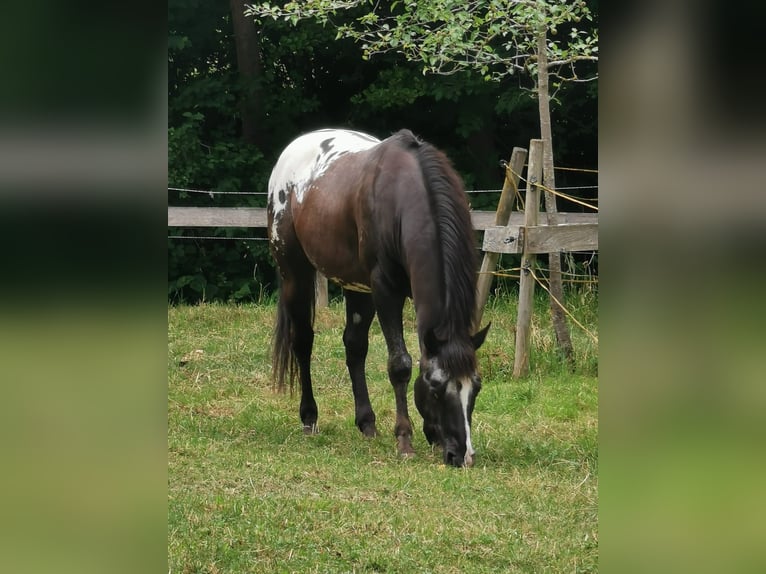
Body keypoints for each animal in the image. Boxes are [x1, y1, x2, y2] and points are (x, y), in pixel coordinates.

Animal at [268, 129, 492, 468]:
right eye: (437, 389)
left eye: (475, 388)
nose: (462, 455)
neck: (403, 200)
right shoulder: (386, 289)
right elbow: (400, 364)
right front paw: (405, 439)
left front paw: (430, 433)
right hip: (295, 273)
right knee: (302, 341)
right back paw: (309, 417)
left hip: (358, 287)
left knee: (354, 346)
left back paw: (367, 423)